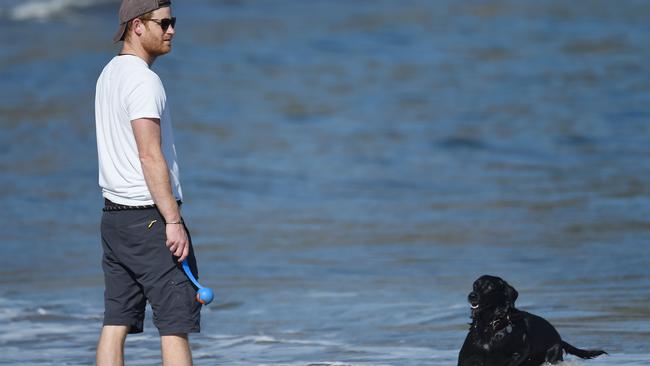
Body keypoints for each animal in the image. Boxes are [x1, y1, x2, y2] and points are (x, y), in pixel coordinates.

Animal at [456, 274, 604, 366]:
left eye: (490, 286)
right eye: (475, 285)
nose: (472, 296)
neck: (490, 324)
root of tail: (559, 339)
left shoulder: (521, 352)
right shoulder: (466, 356)